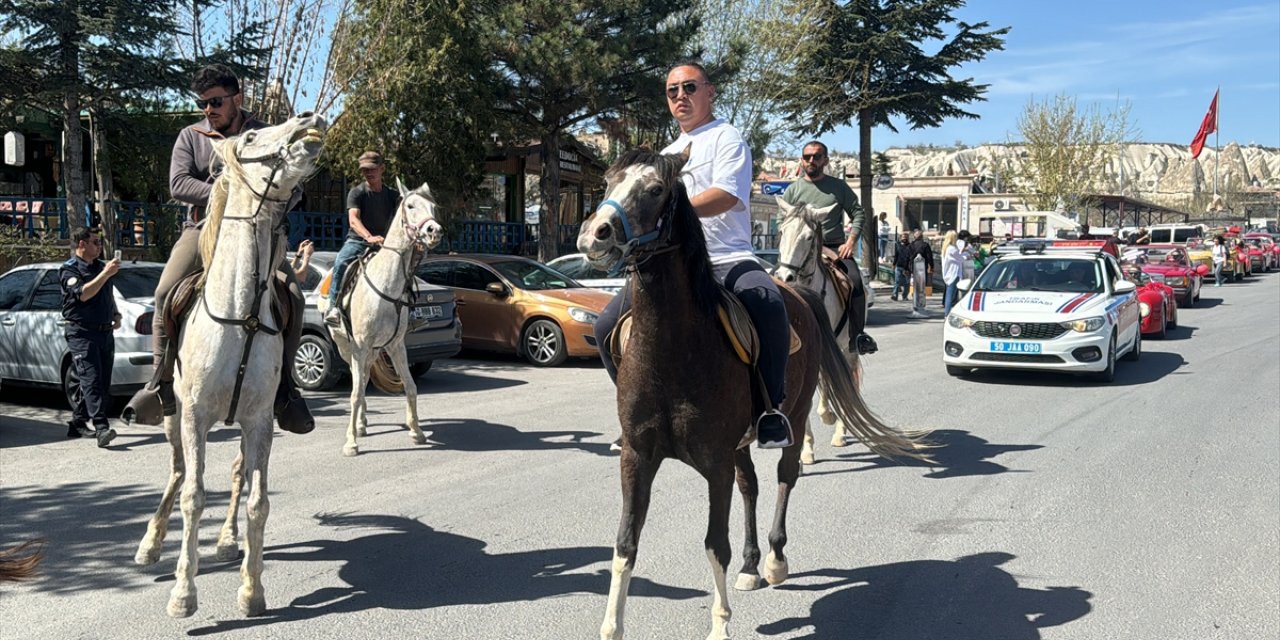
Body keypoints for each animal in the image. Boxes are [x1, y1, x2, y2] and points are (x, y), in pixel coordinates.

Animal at [133, 112, 325, 616]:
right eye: (254, 136)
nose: (309, 119)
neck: (242, 316)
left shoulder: (259, 421)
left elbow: (258, 500)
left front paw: (252, 589)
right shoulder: (195, 415)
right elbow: (193, 496)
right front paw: (183, 593)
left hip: (242, 424)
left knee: (238, 473)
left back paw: (224, 541)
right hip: (173, 417)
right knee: (178, 471)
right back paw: (149, 544)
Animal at [318, 177, 440, 458]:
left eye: (433, 207)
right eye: (410, 206)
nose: (434, 231)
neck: (387, 287)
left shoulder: (396, 345)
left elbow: (410, 386)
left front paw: (416, 432)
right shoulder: (359, 345)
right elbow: (353, 393)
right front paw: (350, 443)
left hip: (373, 350)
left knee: (363, 379)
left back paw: (362, 423)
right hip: (347, 347)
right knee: (357, 382)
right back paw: (358, 427)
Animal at [768, 197, 870, 463]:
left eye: (808, 237)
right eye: (782, 232)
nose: (786, 276)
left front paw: (828, 416)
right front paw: (806, 447)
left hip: (848, 348)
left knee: (846, 380)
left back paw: (840, 431)